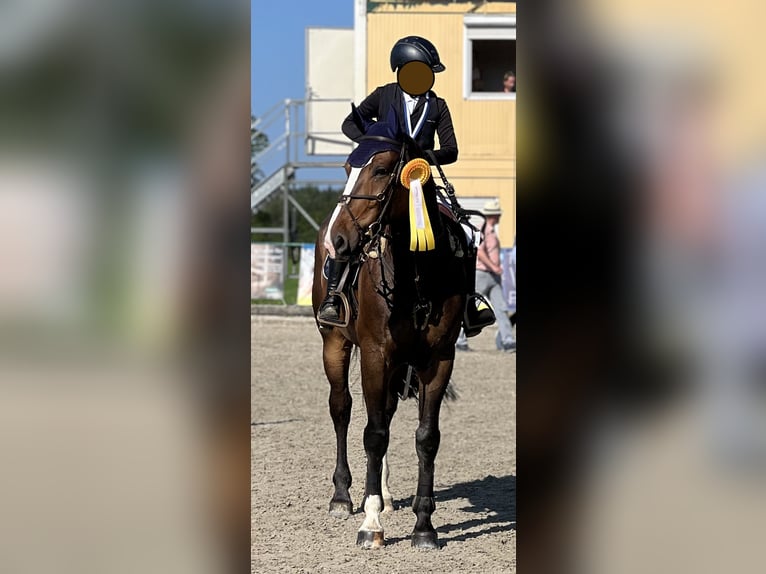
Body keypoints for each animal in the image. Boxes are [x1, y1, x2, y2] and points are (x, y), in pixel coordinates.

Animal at [311, 127, 470, 549]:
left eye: (381, 170)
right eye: (346, 168)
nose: (337, 240)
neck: (416, 272)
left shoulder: (438, 358)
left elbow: (426, 437)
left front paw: (424, 526)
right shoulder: (374, 354)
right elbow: (374, 433)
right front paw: (370, 523)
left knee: (382, 411)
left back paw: (383, 493)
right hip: (335, 344)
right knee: (343, 409)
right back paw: (343, 496)